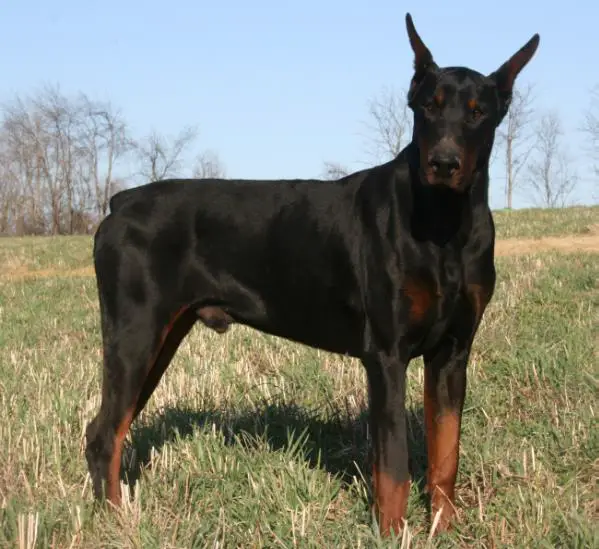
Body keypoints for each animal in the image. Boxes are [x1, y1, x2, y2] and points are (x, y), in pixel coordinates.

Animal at [84, 12, 540, 536]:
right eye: (429, 106)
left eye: (477, 112)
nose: (443, 162)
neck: (445, 223)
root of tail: (120, 204)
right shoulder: (386, 355)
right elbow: (394, 465)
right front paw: (390, 533)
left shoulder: (452, 353)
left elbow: (446, 454)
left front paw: (441, 529)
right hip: (136, 335)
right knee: (104, 434)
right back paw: (116, 523)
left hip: (160, 338)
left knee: (110, 429)